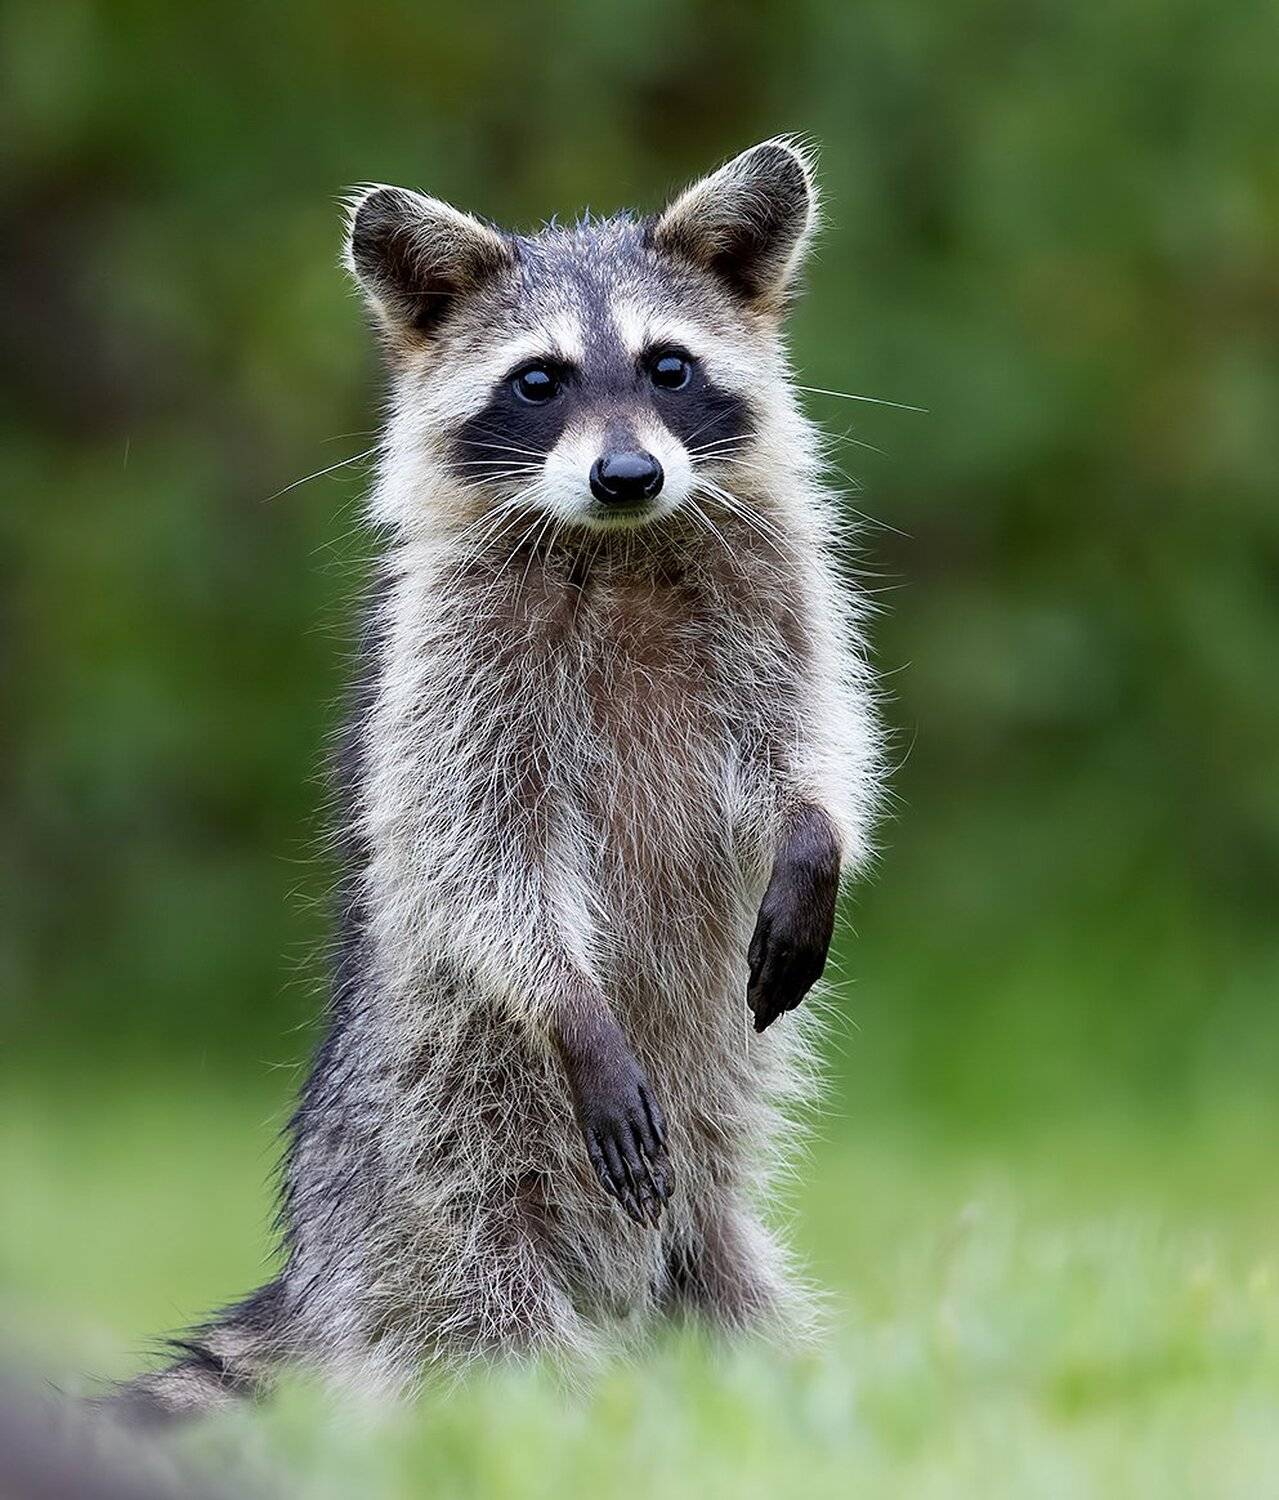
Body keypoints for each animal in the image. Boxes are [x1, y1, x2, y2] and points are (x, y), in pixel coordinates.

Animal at [112, 138, 881, 1420]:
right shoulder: (449, 669)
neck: (619, 548)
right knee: (489, 1334)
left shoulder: (778, 590)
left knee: (743, 1306)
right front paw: (567, 1001)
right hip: (441, 1183)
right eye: (538, 382)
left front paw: (816, 836)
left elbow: (813, 738)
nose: (626, 474)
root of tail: (313, 1286)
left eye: (668, 368)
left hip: (699, 1233)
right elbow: (478, 850)